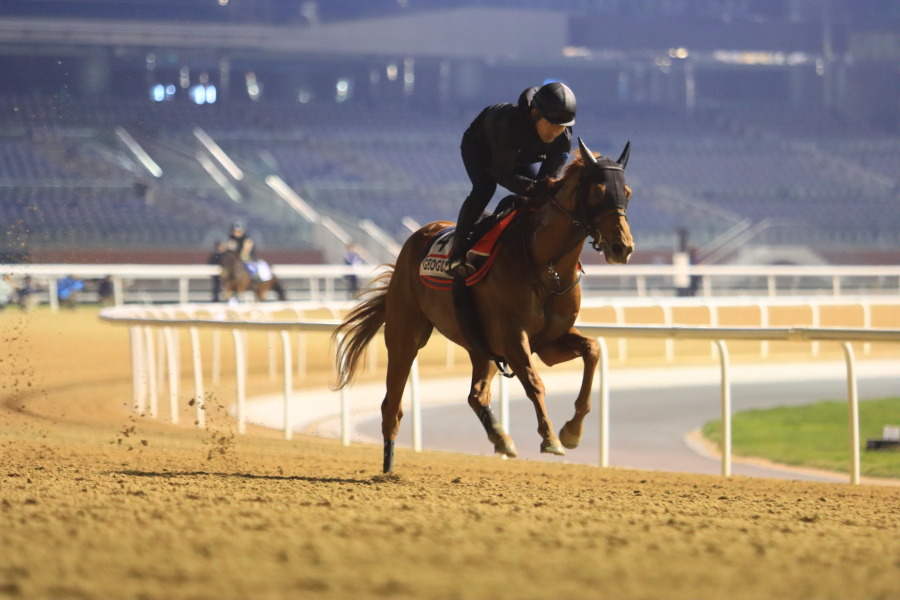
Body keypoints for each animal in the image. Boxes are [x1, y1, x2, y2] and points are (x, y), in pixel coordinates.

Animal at [330, 138, 632, 472]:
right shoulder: (513, 337)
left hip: (479, 345)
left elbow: (592, 350)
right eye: (598, 190)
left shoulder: (550, 342)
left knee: (476, 395)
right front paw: (550, 437)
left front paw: (572, 430)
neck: (544, 265)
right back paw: (388, 464)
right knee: (391, 403)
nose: (623, 247)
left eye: (627, 192)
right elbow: (534, 382)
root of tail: (416, 238)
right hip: (405, 333)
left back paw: (501, 438)